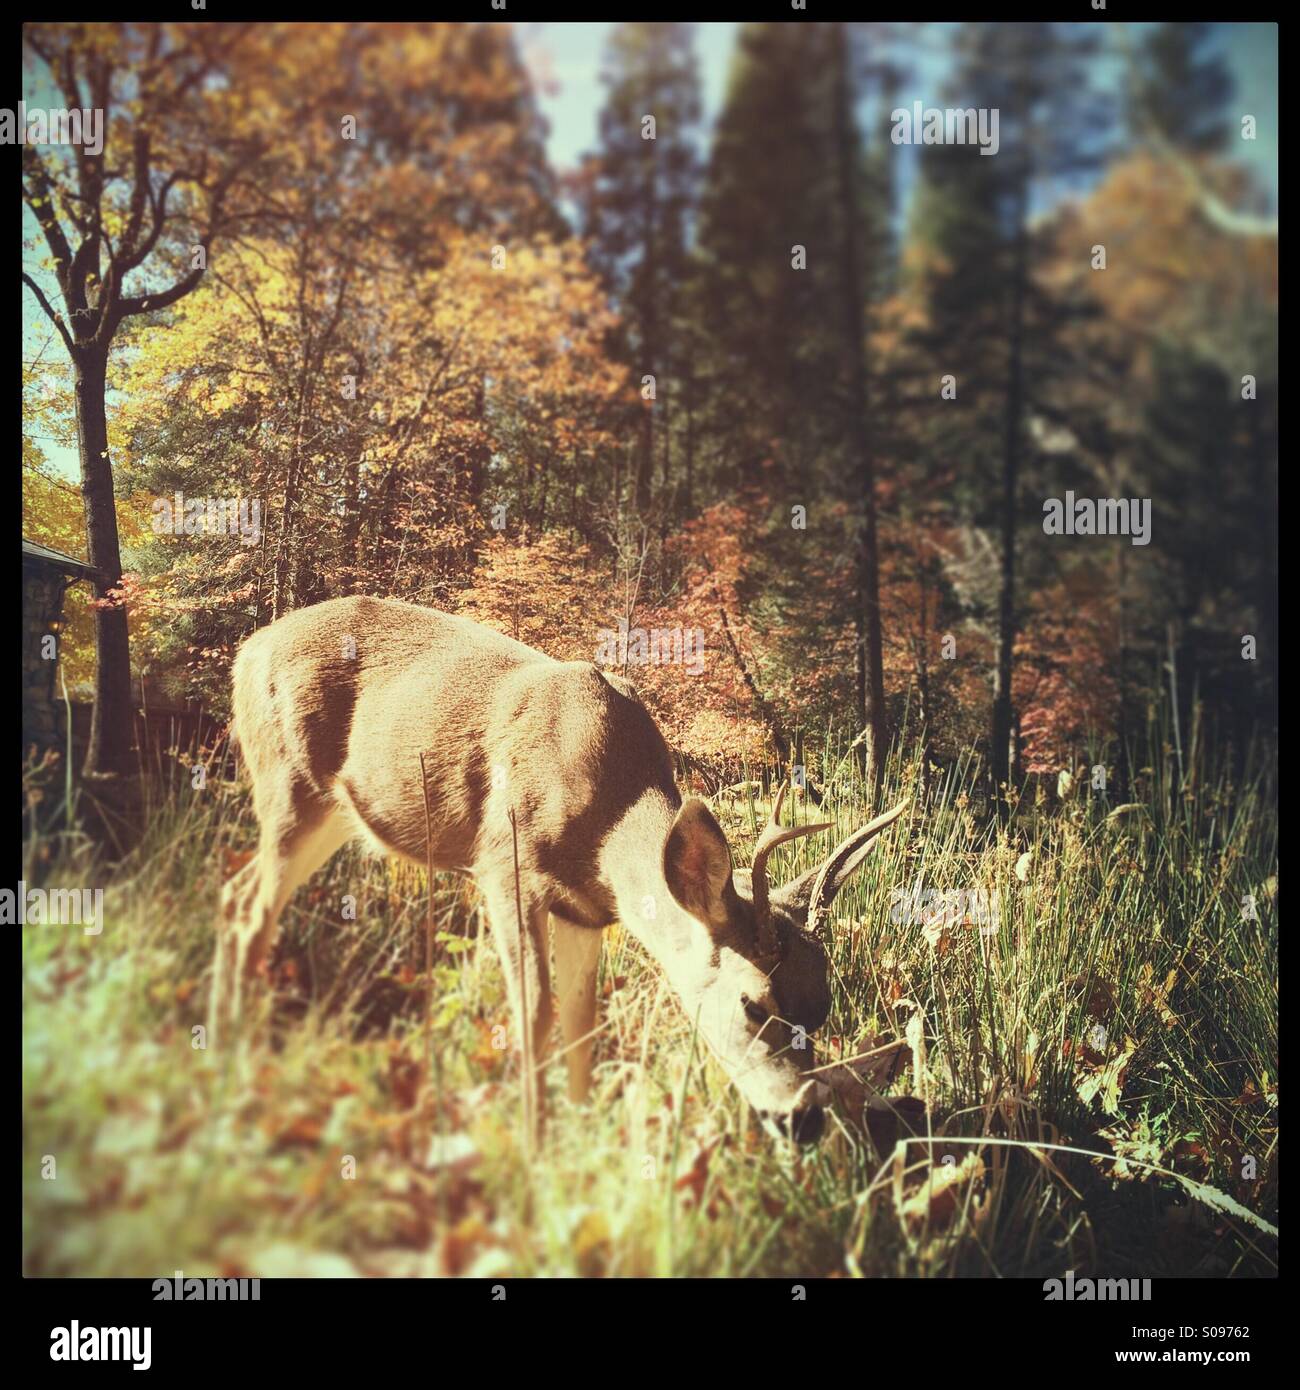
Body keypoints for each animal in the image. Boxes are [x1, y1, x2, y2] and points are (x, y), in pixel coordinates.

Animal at [211, 595, 909, 1143]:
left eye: (823, 1007)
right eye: (752, 1003)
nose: (804, 1119)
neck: (607, 821)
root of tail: (246, 652)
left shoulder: (587, 911)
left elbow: (582, 1021)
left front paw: (577, 1137)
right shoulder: (503, 866)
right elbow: (534, 1014)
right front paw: (533, 1147)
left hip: (329, 812)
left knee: (235, 892)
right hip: (289, 784)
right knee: (251, 913)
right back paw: (239, 1063)